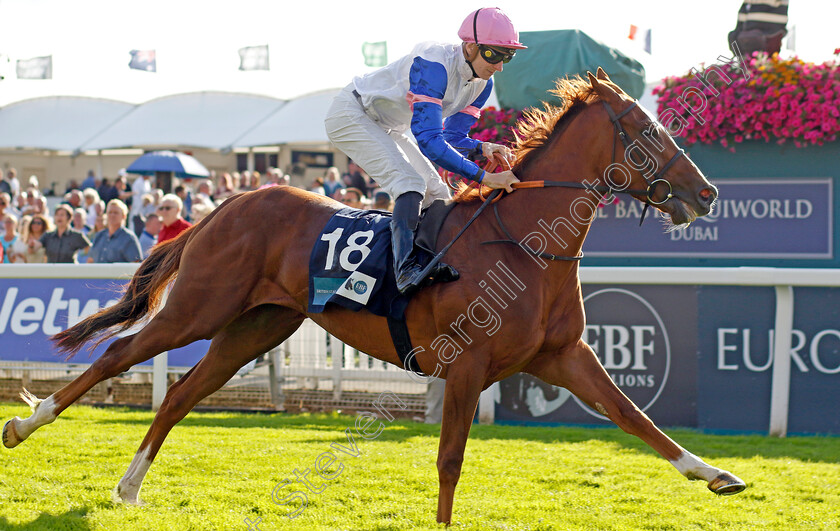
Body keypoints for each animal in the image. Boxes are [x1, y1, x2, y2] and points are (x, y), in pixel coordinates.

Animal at [3, 70, 744, 524]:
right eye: (646, 131)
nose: (707, 193)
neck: (526, 245)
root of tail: (228, 203)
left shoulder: (563, 356)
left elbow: (633, 416)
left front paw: (715, 473)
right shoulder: (468, 367)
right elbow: (450, 461)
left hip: (257, 326)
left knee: (182, 392)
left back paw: (129, 485)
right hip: (201, 306)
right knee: (119, 356)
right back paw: (26, 425)